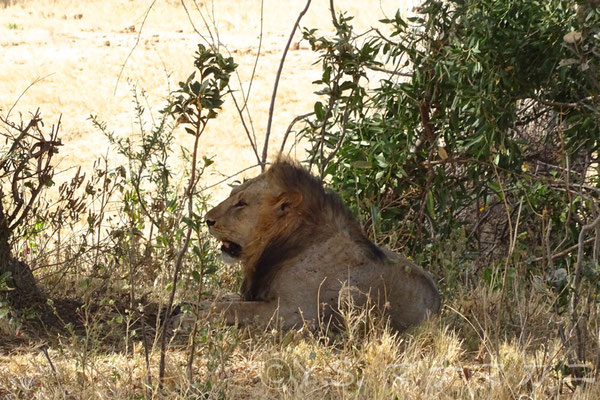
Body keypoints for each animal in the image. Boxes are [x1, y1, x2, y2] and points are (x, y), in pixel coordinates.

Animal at [206, 159, 440, 332]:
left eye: (241, 204)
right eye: (231, 195)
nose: (207, 220)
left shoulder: (292, 312)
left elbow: (229, 309)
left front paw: (198, 316)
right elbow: (224, 300)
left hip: (348, 295)